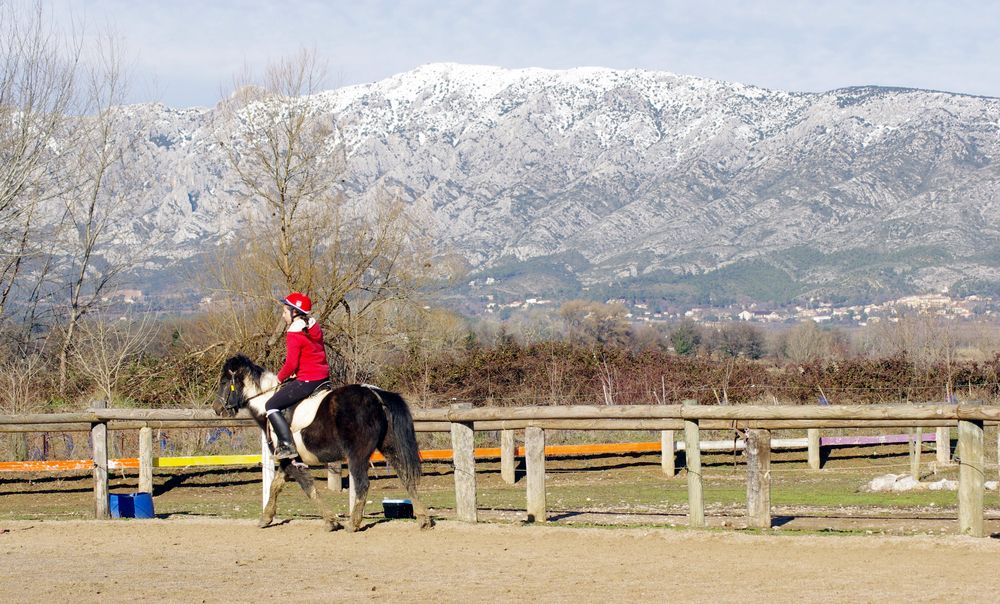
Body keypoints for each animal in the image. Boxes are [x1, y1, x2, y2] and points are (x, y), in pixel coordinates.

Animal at [215, 354, 434, 532]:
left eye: (225, 380)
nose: (217, 408)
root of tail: (376, 394)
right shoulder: (288, 460)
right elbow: (276, 486)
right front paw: (266, 518)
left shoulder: (291, 461)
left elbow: (308, 488)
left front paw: (331, 521)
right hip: (389, 447)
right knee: (406, 477)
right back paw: (423, 520)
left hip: (357, 455)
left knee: (363, 484)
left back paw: (353, 524)